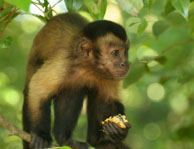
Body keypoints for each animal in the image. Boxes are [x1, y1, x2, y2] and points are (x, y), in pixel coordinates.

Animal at [23, 12, 132, 149]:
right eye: (115, 53)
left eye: (125, 52)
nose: (125, 64)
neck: (87, 67)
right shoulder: (63, 63)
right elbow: (39, 88)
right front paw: (41, 135)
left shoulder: (110, 75)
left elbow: (108, 100)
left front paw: (117, 130)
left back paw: (87, 141)